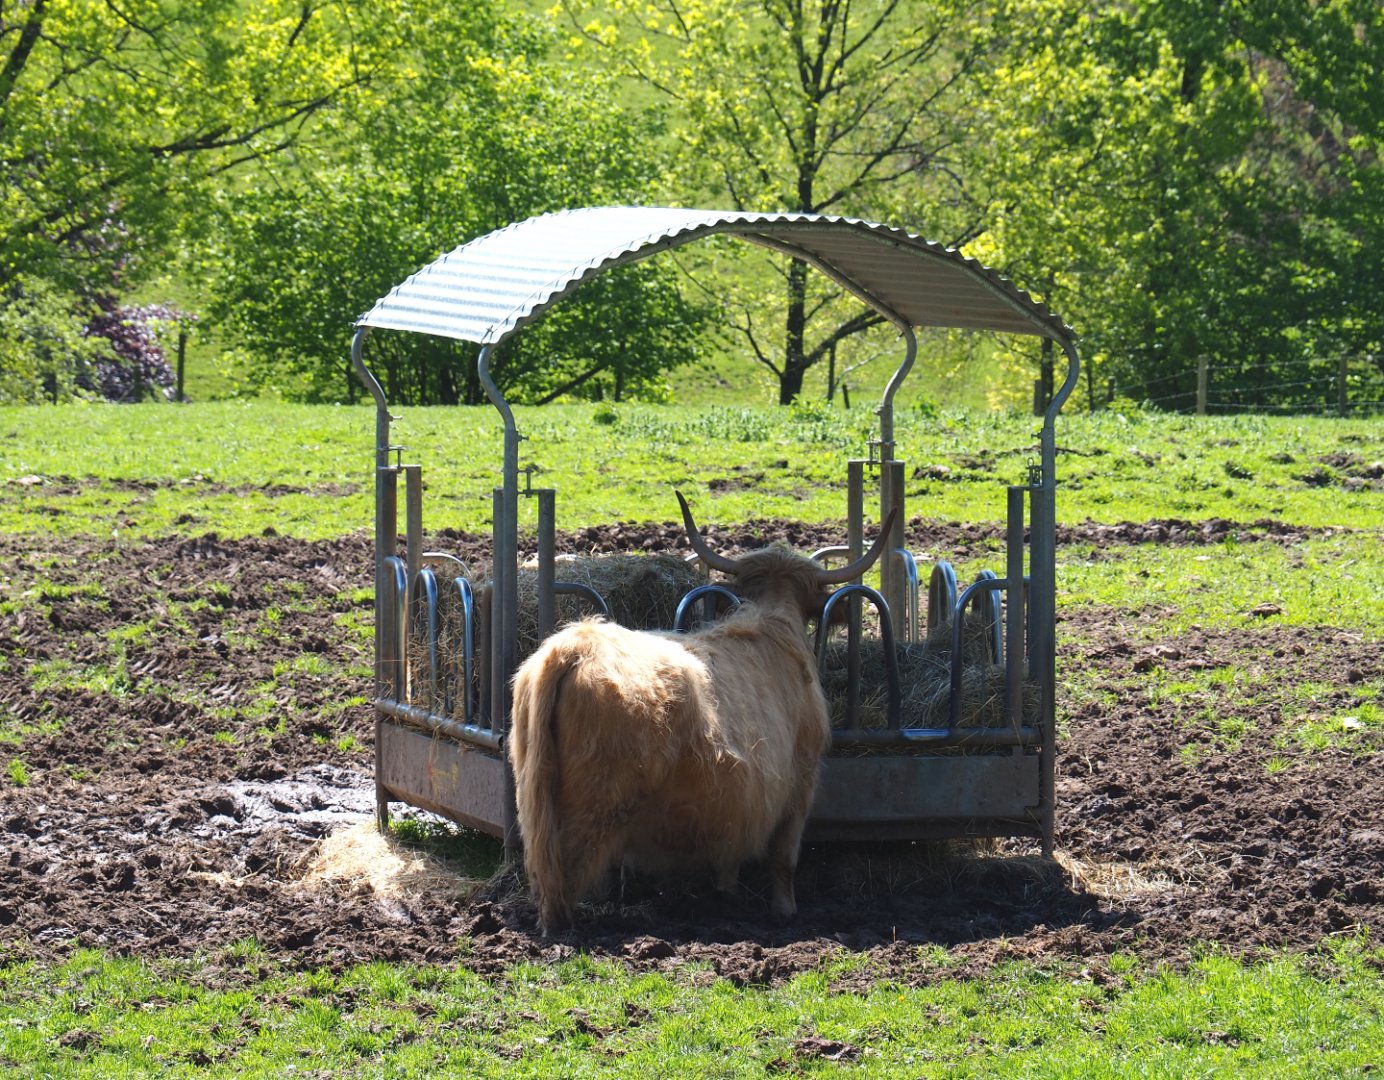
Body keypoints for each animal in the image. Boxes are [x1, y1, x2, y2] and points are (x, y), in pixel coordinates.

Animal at [507, 492, 894, 934]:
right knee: (564, 883)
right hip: (594, 809)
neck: (774, 621)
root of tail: (576, 645)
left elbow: (730, 855)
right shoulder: (801, 781)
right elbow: (784, 858)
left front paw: (727, 895)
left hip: (533, 796)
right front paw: (784, 911)